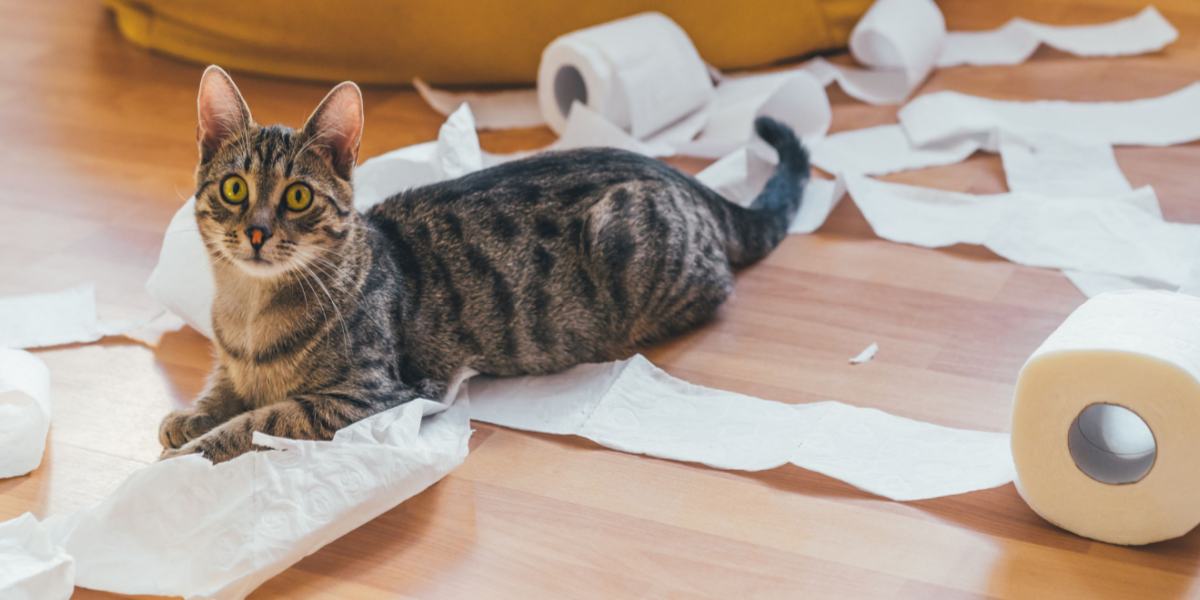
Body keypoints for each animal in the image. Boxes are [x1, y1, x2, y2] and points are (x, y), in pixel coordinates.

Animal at [159, 64, 811, 458]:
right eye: (235, 189)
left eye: (297, 197)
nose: (257, 232)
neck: (248, 311)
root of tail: (681, 176)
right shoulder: (236, 368)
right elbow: (221, 392)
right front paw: (188, 417)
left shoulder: (367, 396)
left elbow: (260, 421)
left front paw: (192, 450)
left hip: (626, 238)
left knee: (719, 287)